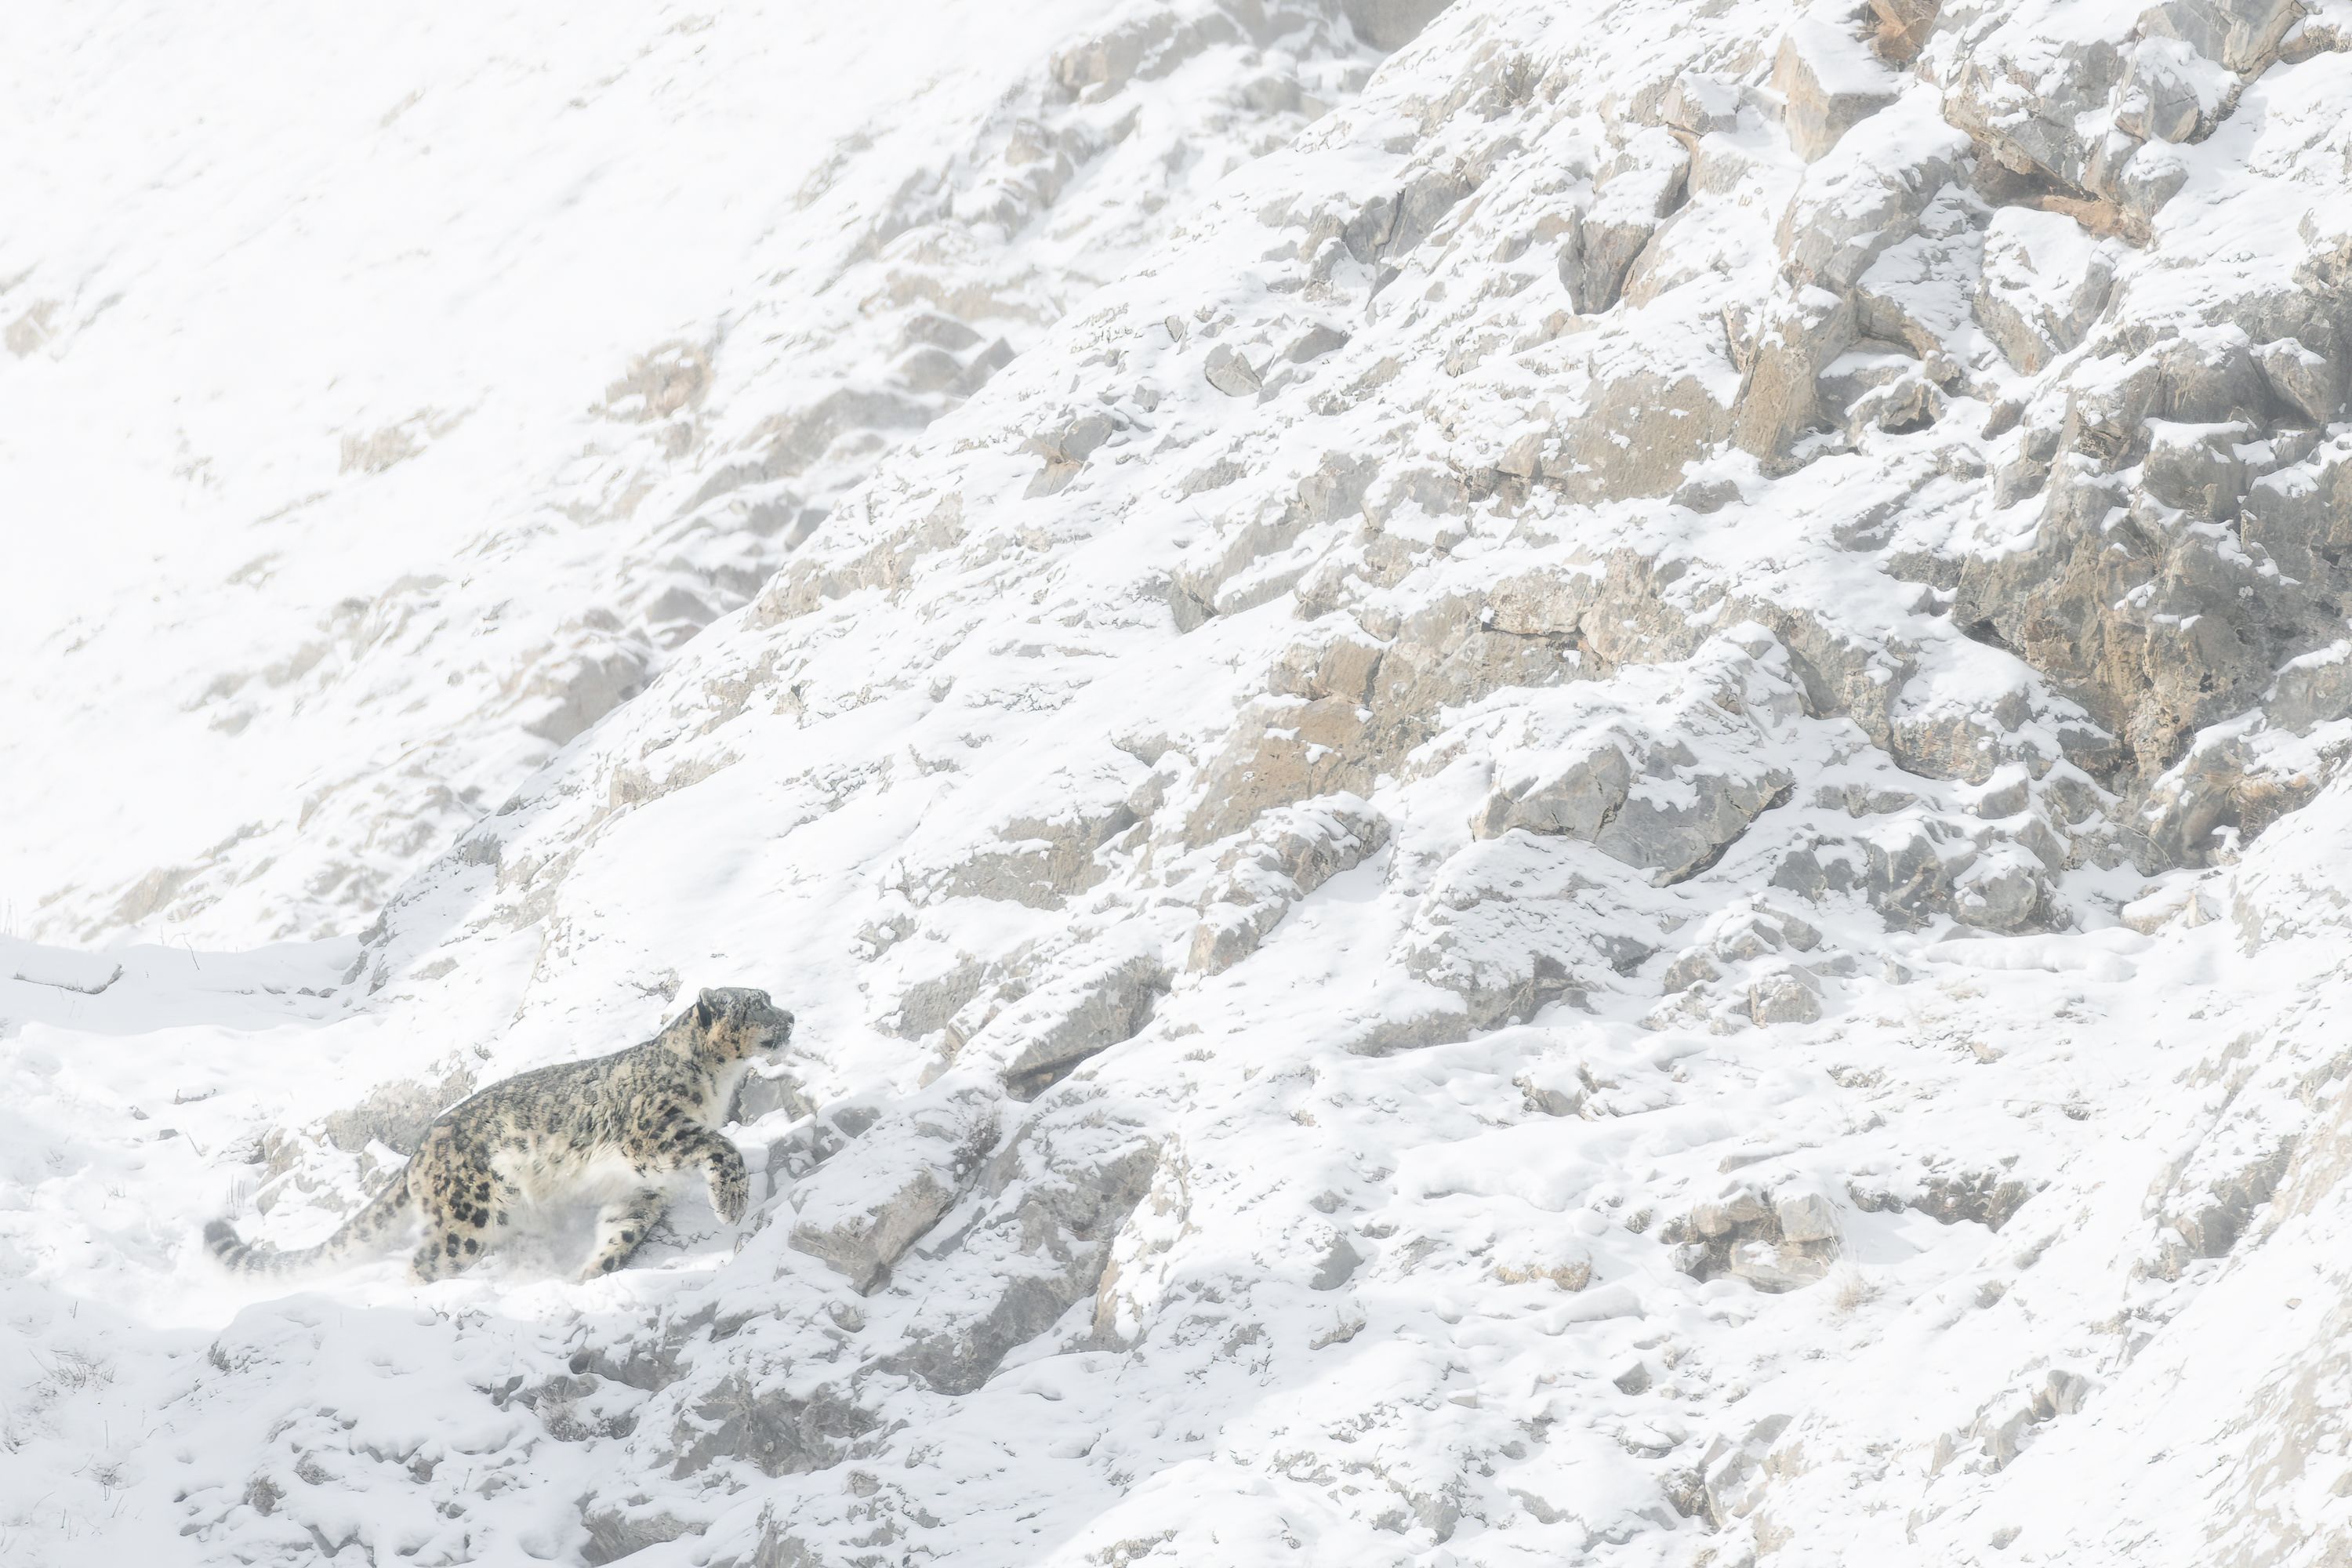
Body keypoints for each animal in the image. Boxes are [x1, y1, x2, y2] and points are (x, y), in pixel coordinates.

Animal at [205, 992, 790, 1288]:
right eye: (756, 1003)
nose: (790, 1014)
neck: (718, 1084)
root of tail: (419, 1150)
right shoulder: (654, 1133)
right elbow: (723, 1147)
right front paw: (731, 1205)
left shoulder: (639, 1190)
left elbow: (621, 1232)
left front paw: (588, 1275)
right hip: (468, 1217)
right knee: (423, 1263)